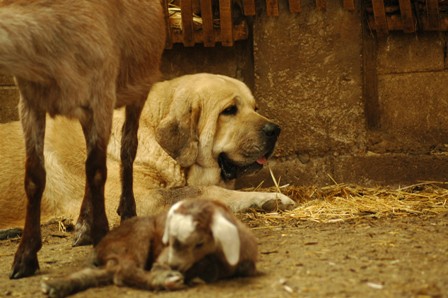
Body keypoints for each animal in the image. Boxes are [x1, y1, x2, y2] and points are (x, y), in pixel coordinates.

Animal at [0, 0, 166, 280]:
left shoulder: (102, 97)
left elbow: (98, 169)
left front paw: (100, 232)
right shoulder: (30, 103)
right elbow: (34, 177)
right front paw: (25, 257)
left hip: (139, 85)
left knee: (127, 149)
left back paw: (125, 212)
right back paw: (83, 226)